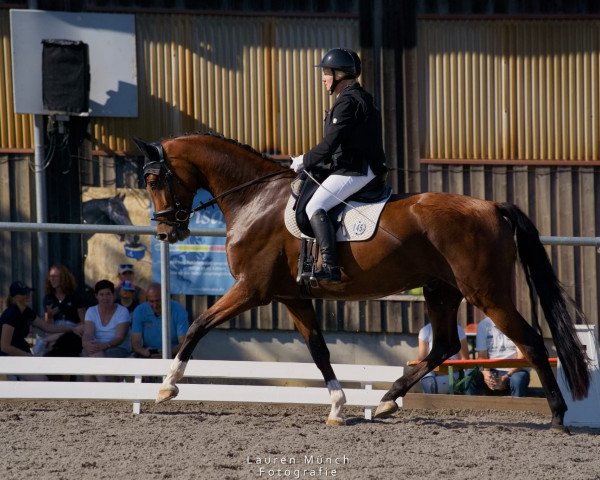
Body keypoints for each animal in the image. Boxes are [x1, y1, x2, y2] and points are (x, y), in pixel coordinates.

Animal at [134, 132, 588, 432]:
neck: (255, 200)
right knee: (444, 345)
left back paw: (558, 416)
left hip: (487, 293)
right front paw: (338, 406)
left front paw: (167, 387)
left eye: (154, 181)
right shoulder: (291, 296)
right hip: (441, 291)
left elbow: (197, 325)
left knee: (530, 342)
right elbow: (318, 350)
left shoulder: (251, 289)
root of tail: (491, 206)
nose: (165, 233)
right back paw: (387, 401)